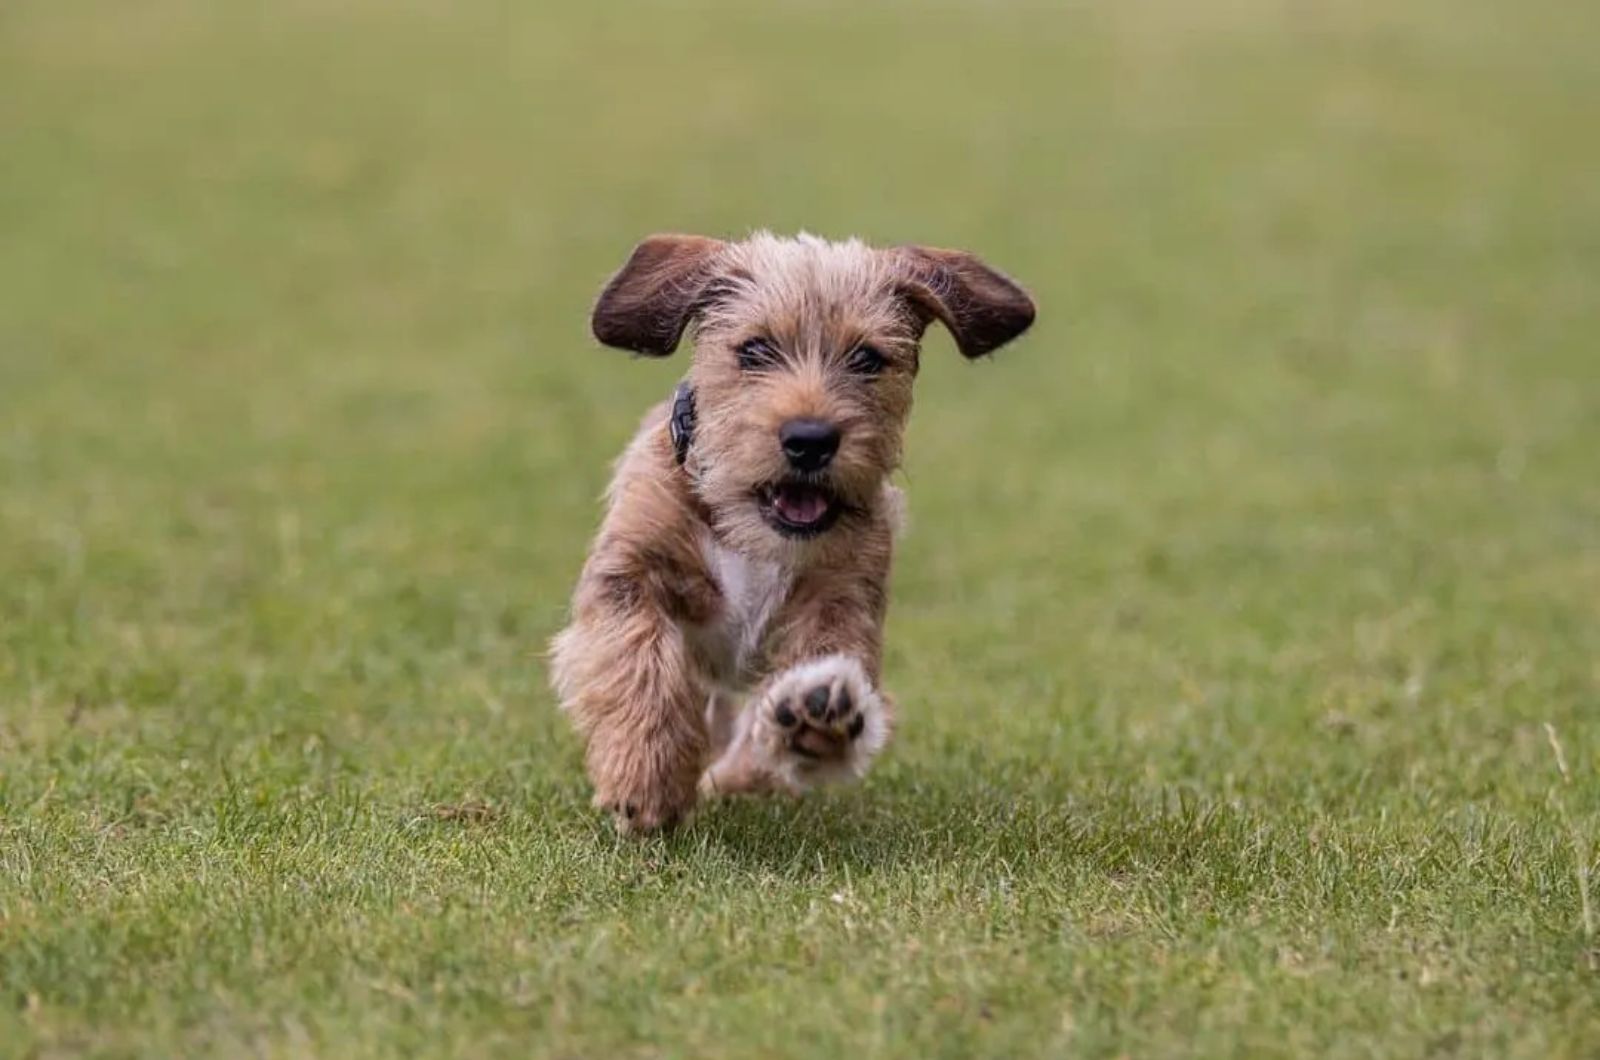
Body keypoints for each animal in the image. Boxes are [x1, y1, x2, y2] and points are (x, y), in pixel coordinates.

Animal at [553, 235, 1036, 839]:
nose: (810, 439)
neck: (755, 534)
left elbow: (824, 660)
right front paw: (645, 778)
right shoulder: (631, 566)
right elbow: (635, 657)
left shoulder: (843, 594)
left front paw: (817, 710)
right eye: (755, 350)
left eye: (867, 359)